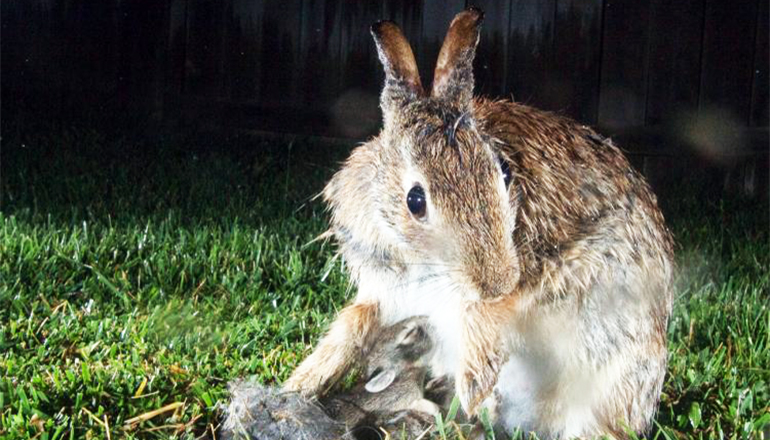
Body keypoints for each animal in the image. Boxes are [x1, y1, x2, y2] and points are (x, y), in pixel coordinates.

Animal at [282, 6, 672, 440]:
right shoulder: (384, 287)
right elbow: (354, 322)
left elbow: (489, 313)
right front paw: (299, 386)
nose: (497, 282)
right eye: (415, 201)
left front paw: (473, 383)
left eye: (503, 174)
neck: (429, 267)